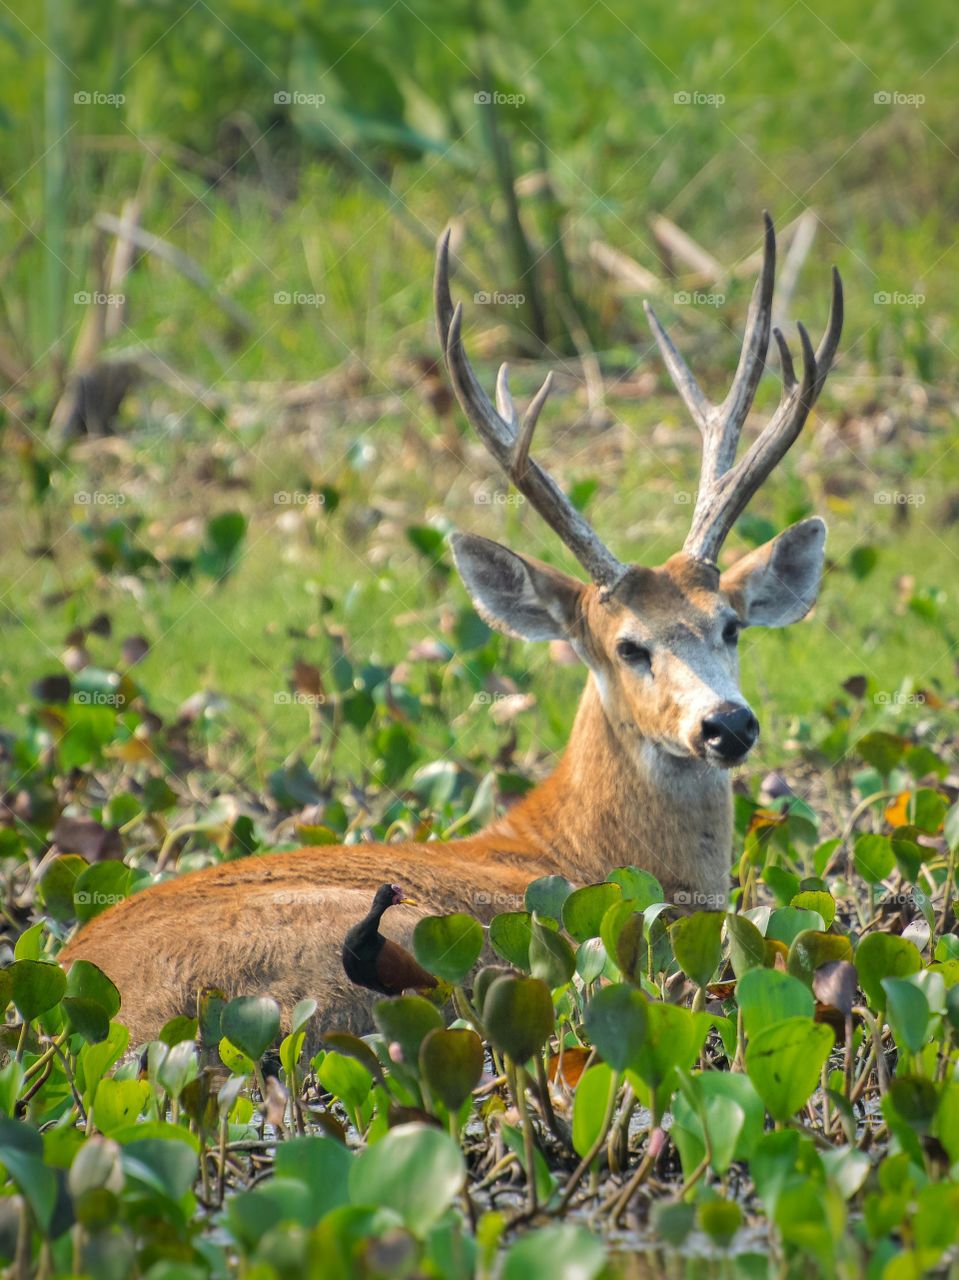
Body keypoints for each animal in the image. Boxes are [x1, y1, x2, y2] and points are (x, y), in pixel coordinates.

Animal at [57, 215, 839, 1044]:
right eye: (629, 646)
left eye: (730, 626)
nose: (727, 724)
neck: (572, 850)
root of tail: (99, 1009)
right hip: (384, 942)